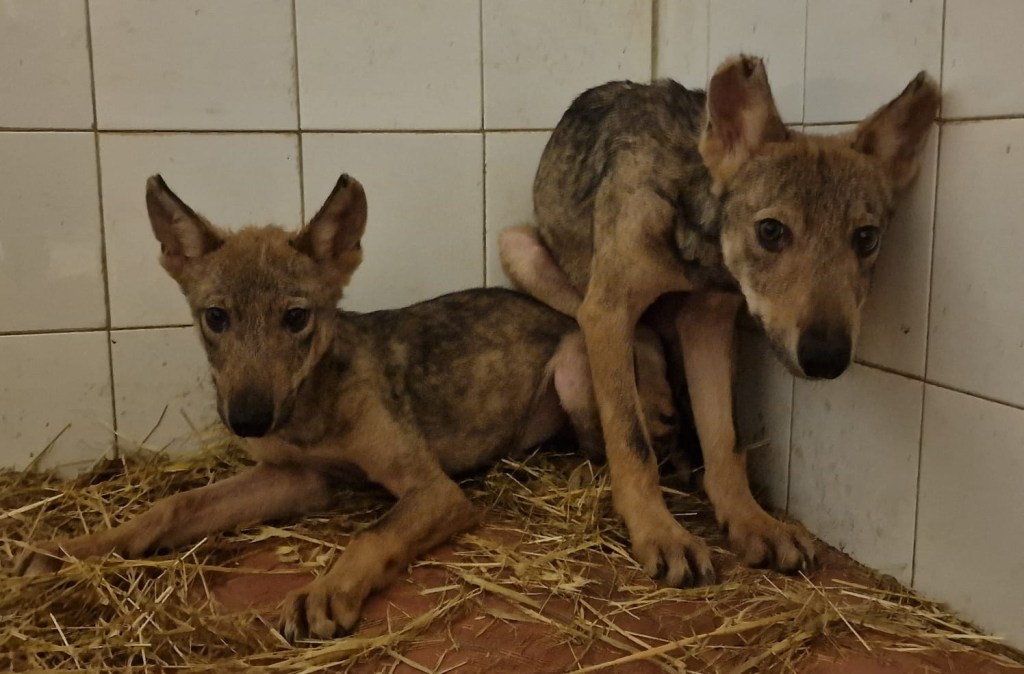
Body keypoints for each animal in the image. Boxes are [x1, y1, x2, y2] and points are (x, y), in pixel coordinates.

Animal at [16, 174, 679, 641]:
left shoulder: (434, 491)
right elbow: (174, 506)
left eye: (296, 318)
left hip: (571, 371)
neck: (312, 411)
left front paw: (324, 592)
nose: (248, 420)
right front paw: (71, 549)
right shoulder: (292, 477)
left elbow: (370, 534)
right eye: (216, 318)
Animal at [500, 55, 939, 587]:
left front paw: (752, 522)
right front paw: (658, 531)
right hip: (520, 248)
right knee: (635, 345)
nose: (827, 357)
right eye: (771, 231)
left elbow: (724, 441)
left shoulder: (708, 324)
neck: (698, 245)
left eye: (866, 238)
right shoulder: (607, 310)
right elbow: (631, 443)